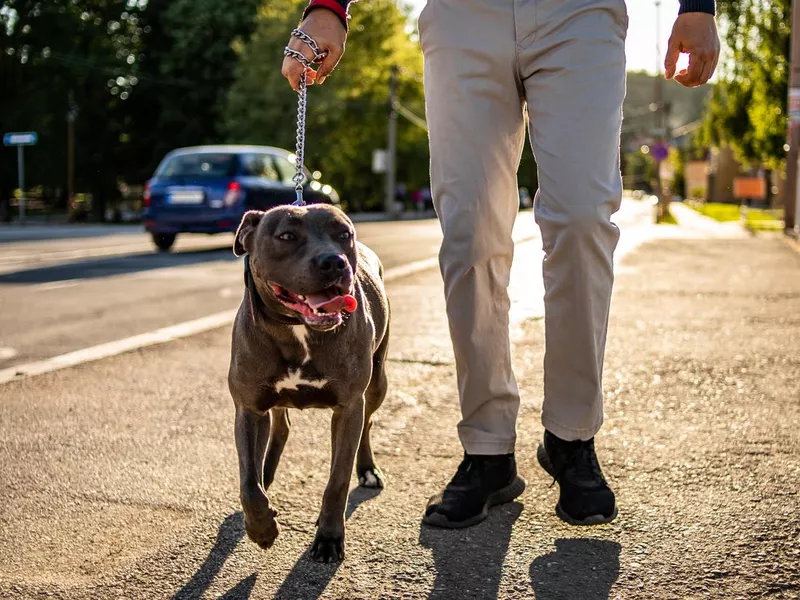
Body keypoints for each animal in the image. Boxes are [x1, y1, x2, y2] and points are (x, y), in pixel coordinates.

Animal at [227, 203, 390, 564]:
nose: (334, 262)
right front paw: (261, 528)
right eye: (287, 236)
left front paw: (329, 537)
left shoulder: (349, 406)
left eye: (343, 234)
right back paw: (267, 474)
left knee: (368, 424)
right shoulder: (248, 408)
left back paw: (368, 469)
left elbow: (337, 481)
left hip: (377, 382)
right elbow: (248, 482)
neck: (297, 329)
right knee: (279, 428)